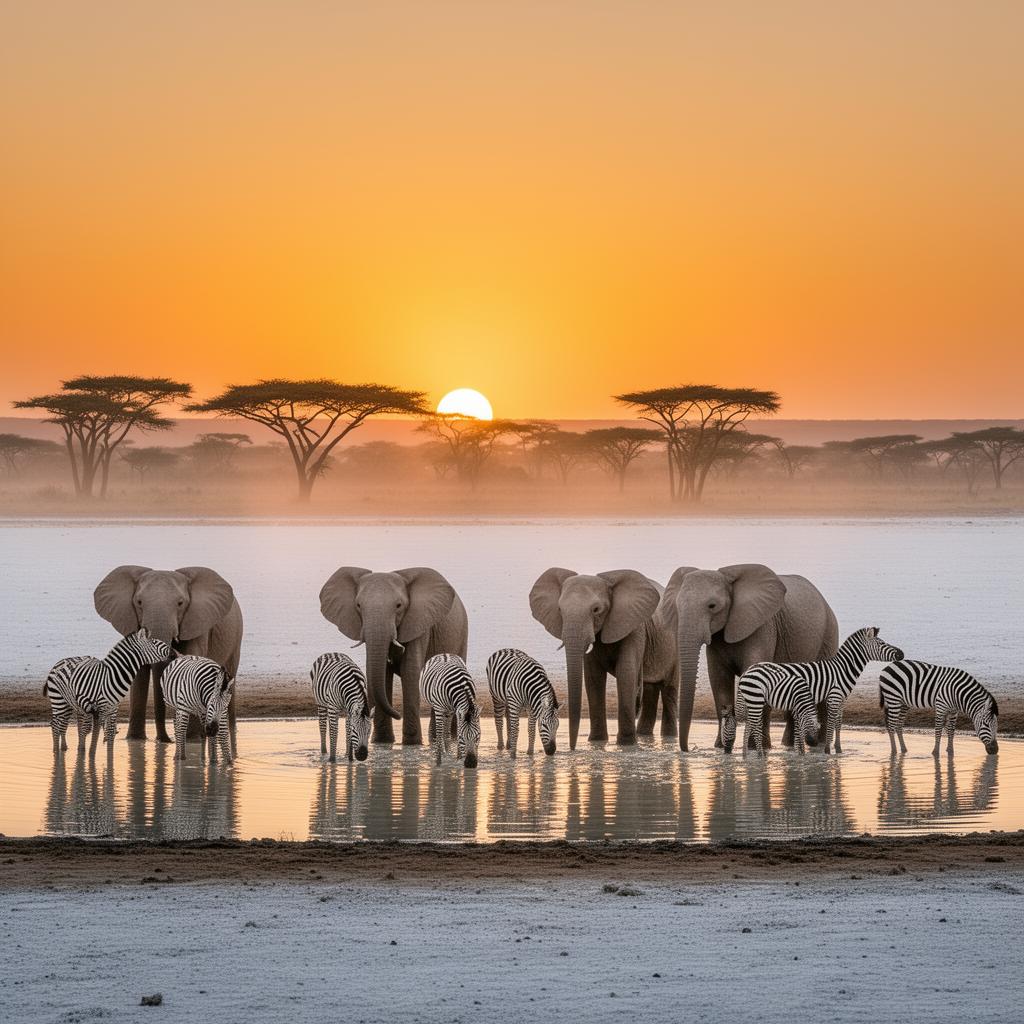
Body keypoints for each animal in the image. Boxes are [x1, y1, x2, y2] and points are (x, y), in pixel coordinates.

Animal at [43, 628, 172, 757]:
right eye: (154, 642)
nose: (172, 652)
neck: (111, 676)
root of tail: (58, 663)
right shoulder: (99, 708)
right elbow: (95, 735)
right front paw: (91, 756)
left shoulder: (113, 709)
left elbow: (109, 735)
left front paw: (109, 758)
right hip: (58, 700)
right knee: (56, 725)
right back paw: (56, 753)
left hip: (68, 704)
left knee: (61, 725)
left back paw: (63, 749)